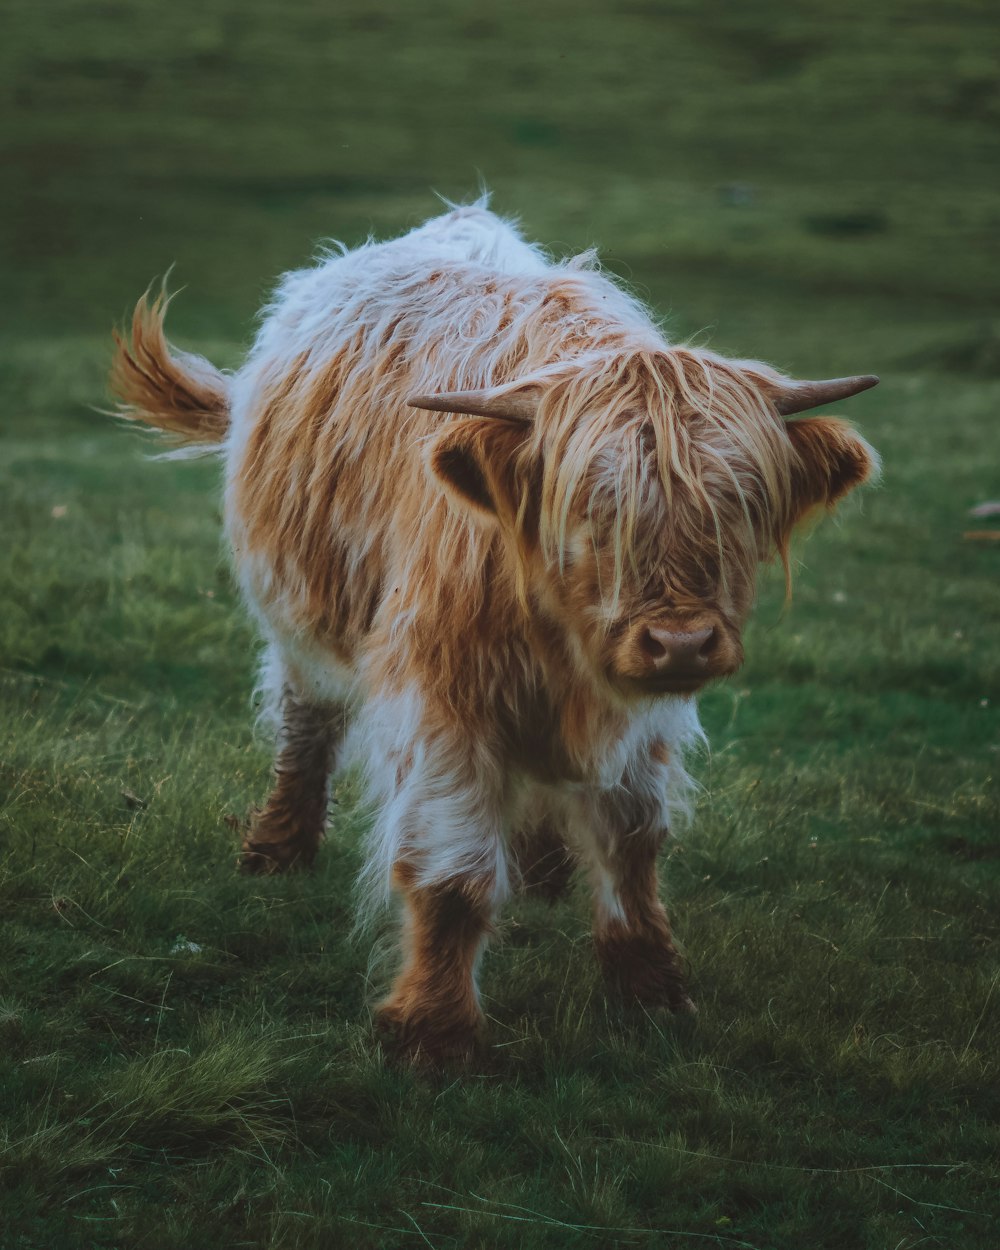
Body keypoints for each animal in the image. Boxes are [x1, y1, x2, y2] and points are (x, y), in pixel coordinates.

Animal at [107, 200, 875, 1060]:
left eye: (739, 505)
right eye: (589, 507)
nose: (680, 643)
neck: (560, 637)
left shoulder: (644, 712)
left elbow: (633, 846)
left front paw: (651, 991)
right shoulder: (443, 696)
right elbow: (453, 872)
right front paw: (434, 1030)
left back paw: (545, 868)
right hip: (299, 616)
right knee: (306, 721)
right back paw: (278, 848)